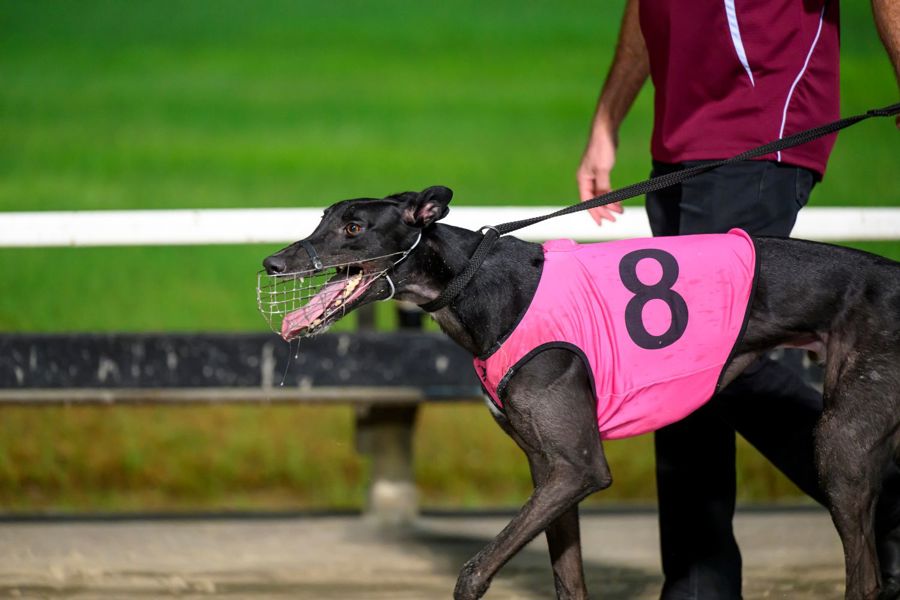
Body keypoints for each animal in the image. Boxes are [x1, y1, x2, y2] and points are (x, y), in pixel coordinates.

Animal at [261, 185, 900, 600]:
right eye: (322, 218)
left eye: (354, 228)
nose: (271, 262)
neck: (475, 281)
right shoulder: (551, 469)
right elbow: (567, 578)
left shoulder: (579, 467)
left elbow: (473, 572)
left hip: (841, 442)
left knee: (864, 573)